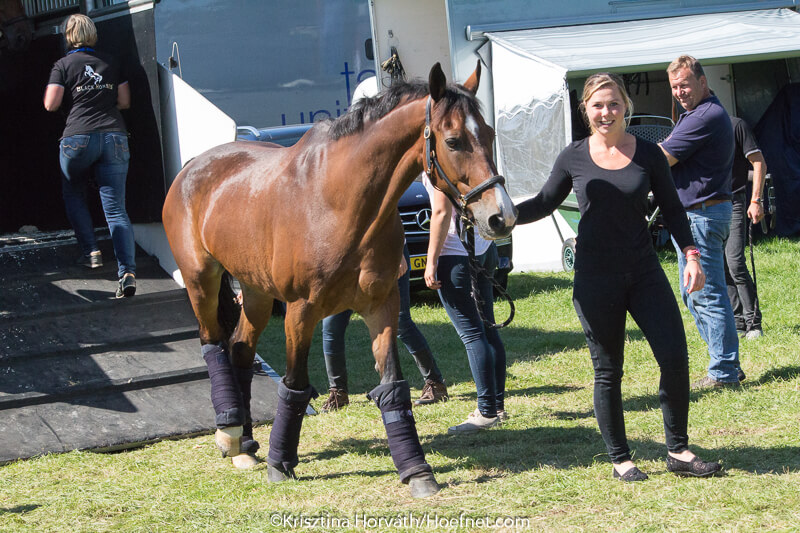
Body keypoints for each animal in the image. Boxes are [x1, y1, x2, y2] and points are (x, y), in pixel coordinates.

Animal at [162, 62, 517, 498]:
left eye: (488, 134)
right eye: (453, 140)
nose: (501, 217)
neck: (339, 203)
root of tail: (193, 166)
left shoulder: (382, 306)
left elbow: (392, 387)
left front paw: (417, 471)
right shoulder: (300, 312)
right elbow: (295, 384)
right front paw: (281, 463)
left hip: (256, 289)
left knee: (241, 348)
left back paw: (245, 443)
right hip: (202, 280)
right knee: (212, 343)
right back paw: (229, 434)